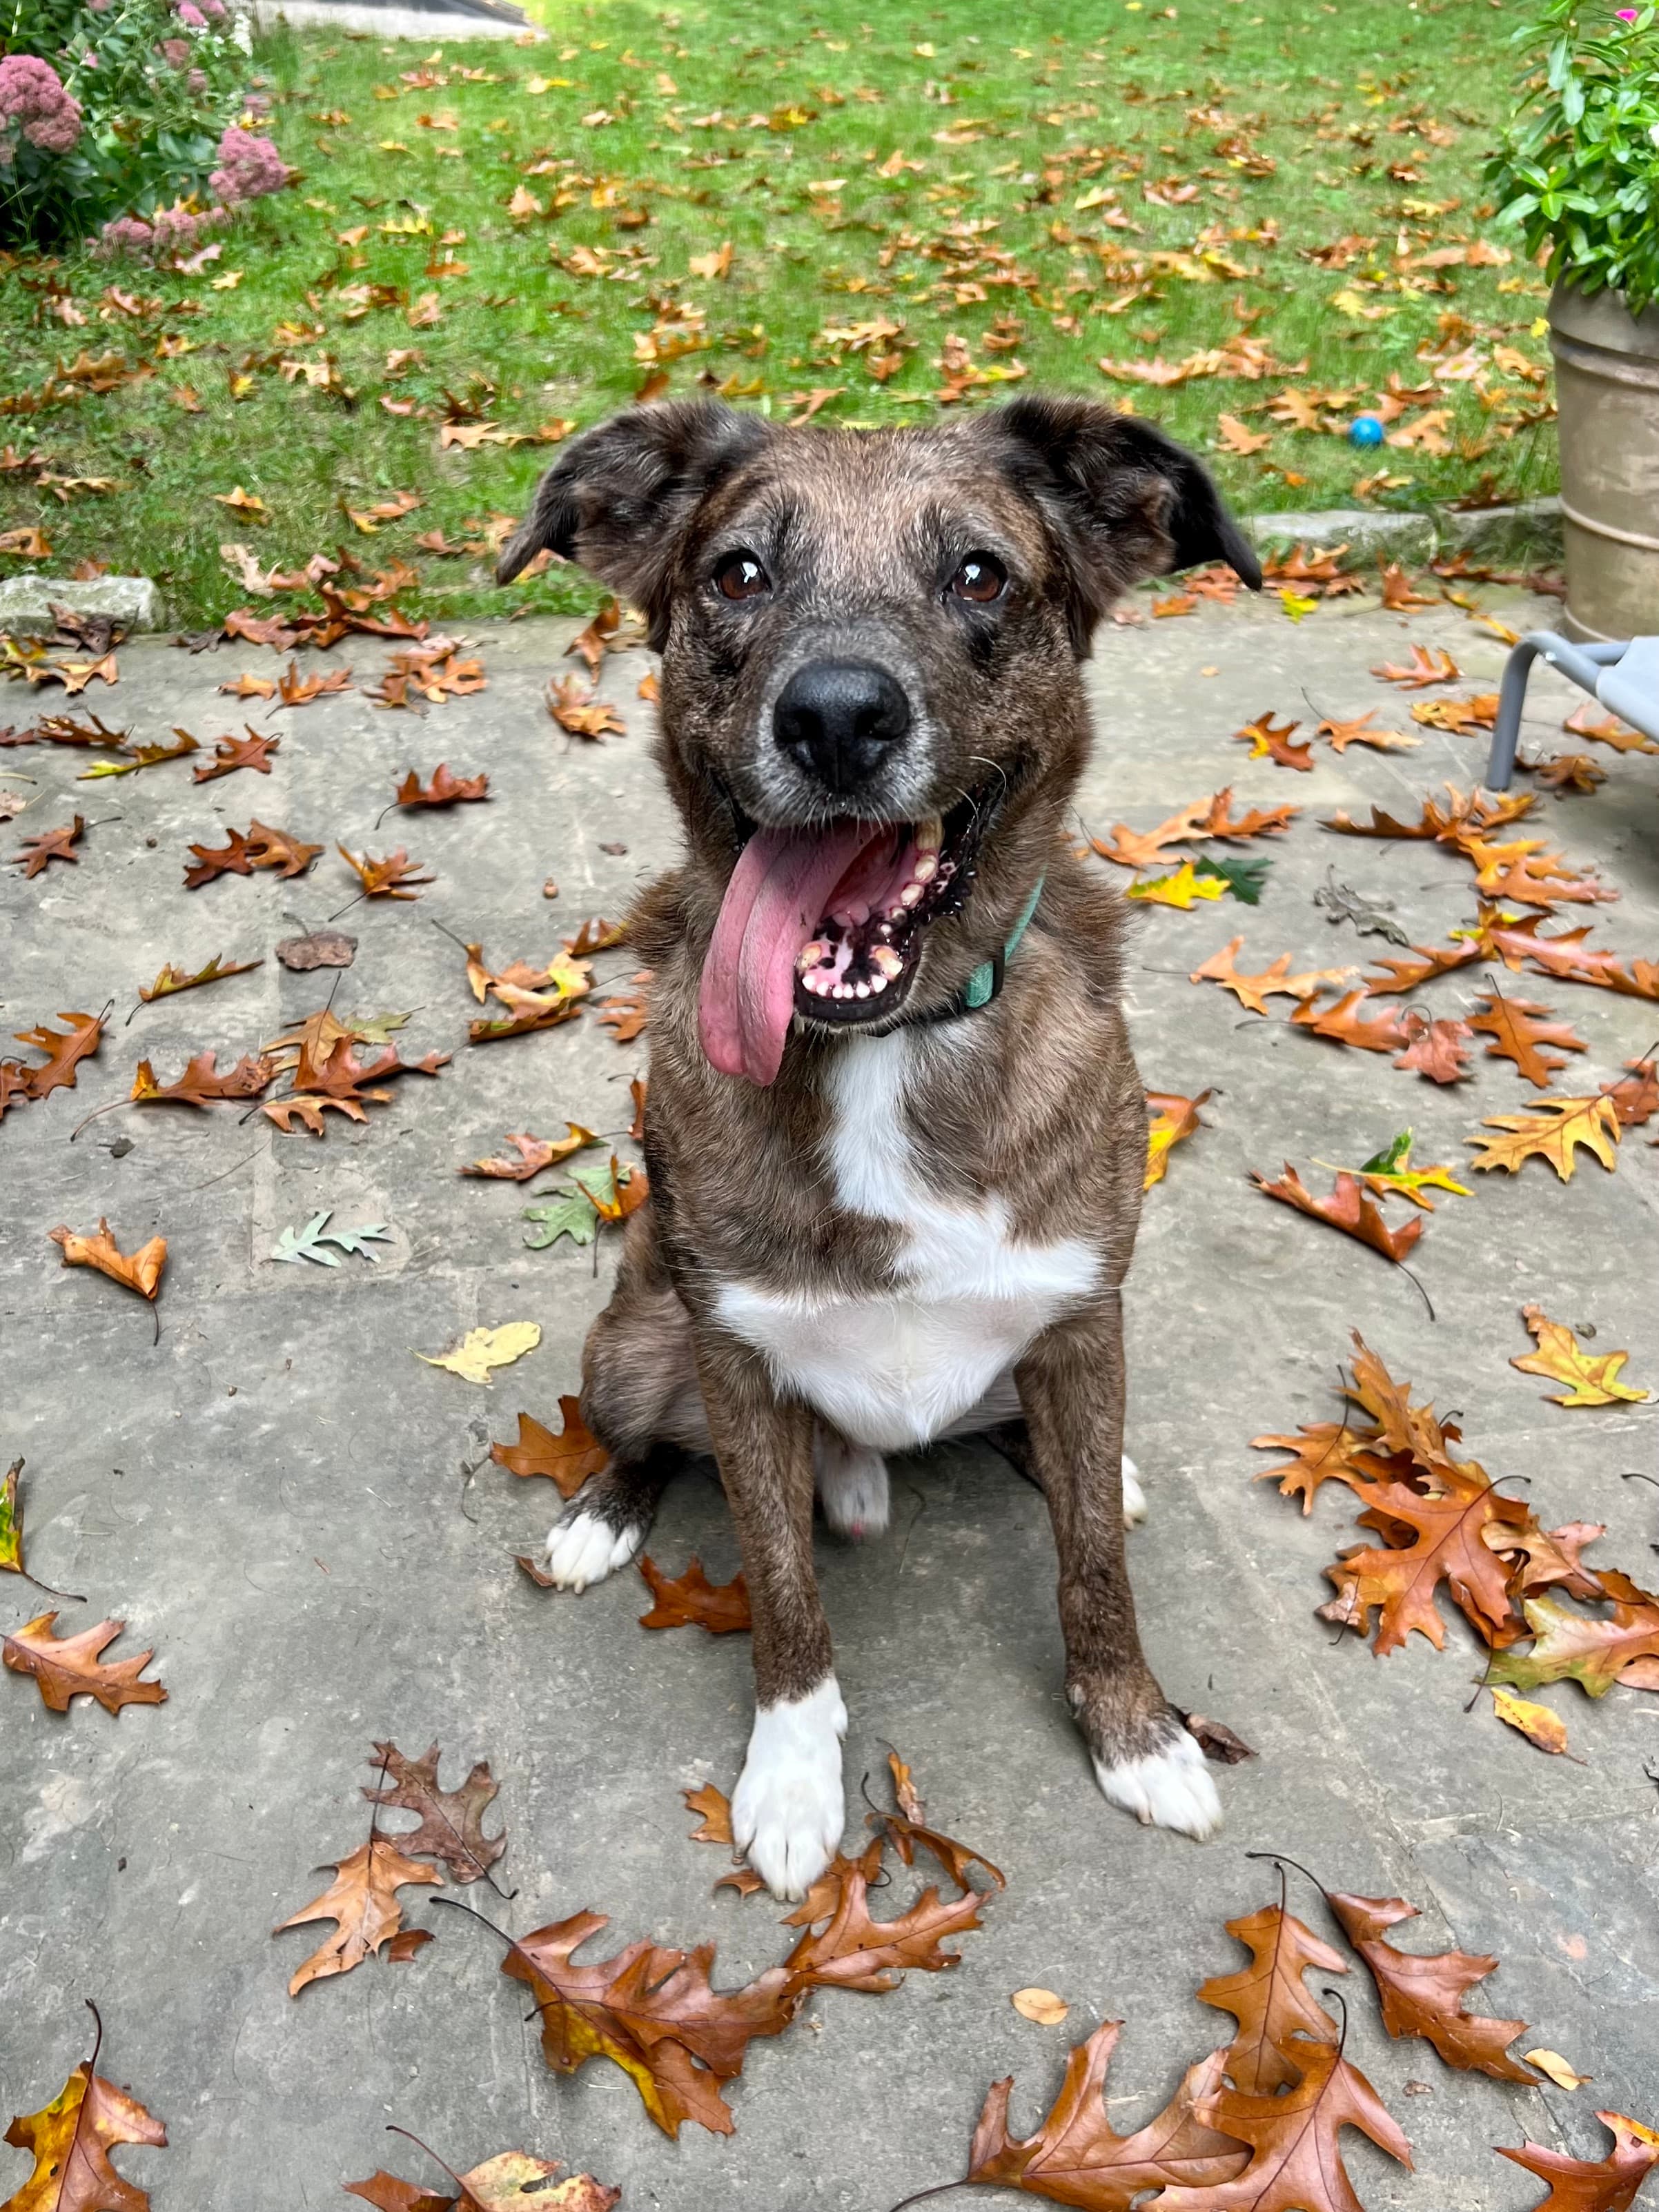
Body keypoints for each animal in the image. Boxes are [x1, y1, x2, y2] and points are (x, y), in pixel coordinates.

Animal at [500, 398, 1265, 1902]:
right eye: (735, 573)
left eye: (978, 575)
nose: (837, 717)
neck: (881, 1046)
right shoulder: (736, 1363)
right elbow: (783, 1597)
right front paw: (794, 1776)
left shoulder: (1083, 1318)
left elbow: (1091, 1567)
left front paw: (1135, 1731)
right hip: (632, 1340)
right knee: (646, 1439)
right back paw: (602, 1515)